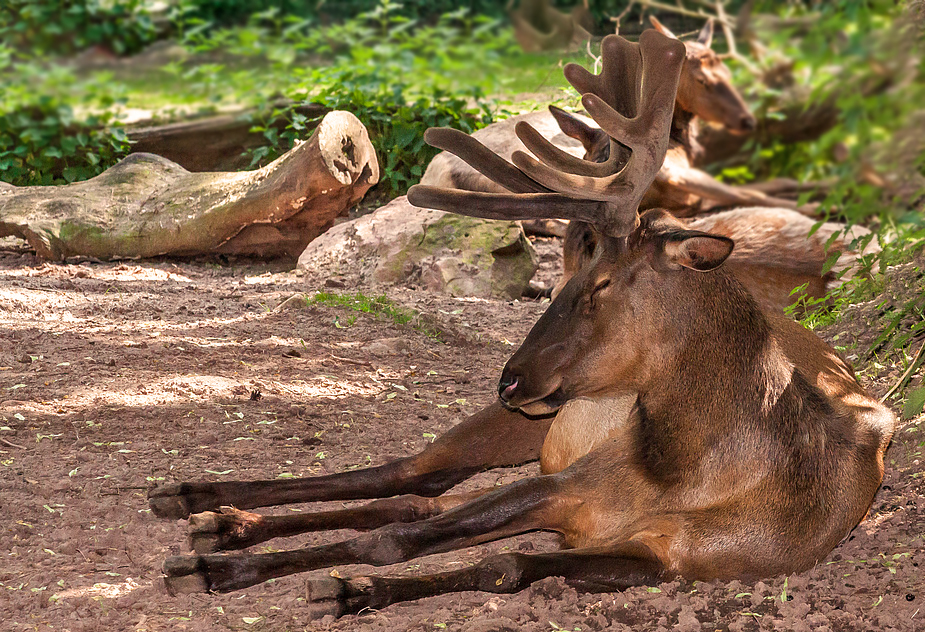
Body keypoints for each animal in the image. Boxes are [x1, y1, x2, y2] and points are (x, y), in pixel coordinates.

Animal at [150, 30, 896, 616]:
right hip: (513, 433)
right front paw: (227, 569)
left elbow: (495, 564)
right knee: (404, 471)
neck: (684, 476)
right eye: (566, 279)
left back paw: (221, 522)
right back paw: (198, 498)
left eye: (599, 286)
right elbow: (392, 538)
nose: (509, 379)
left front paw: (351, 587)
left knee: (418, 498)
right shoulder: (565, 483)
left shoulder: (667, 557)